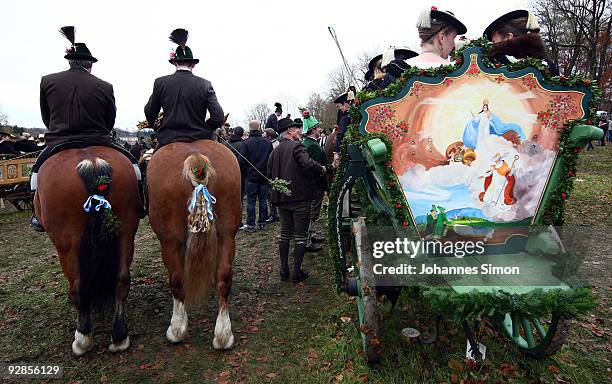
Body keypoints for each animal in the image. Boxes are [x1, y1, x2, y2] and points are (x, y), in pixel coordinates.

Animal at [34, 146, 140, 354]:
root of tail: (92, 162)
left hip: (68, 245)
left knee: (79, 286)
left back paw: (82, 339)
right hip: (126, 231)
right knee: (122, 279)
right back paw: (119, 336)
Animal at [148, 141, 241, 352]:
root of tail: (195, 156)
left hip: (169, 240)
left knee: (177, 278)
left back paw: (177, 329)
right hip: (227, 233)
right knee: (224, 275)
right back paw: (223, 334)